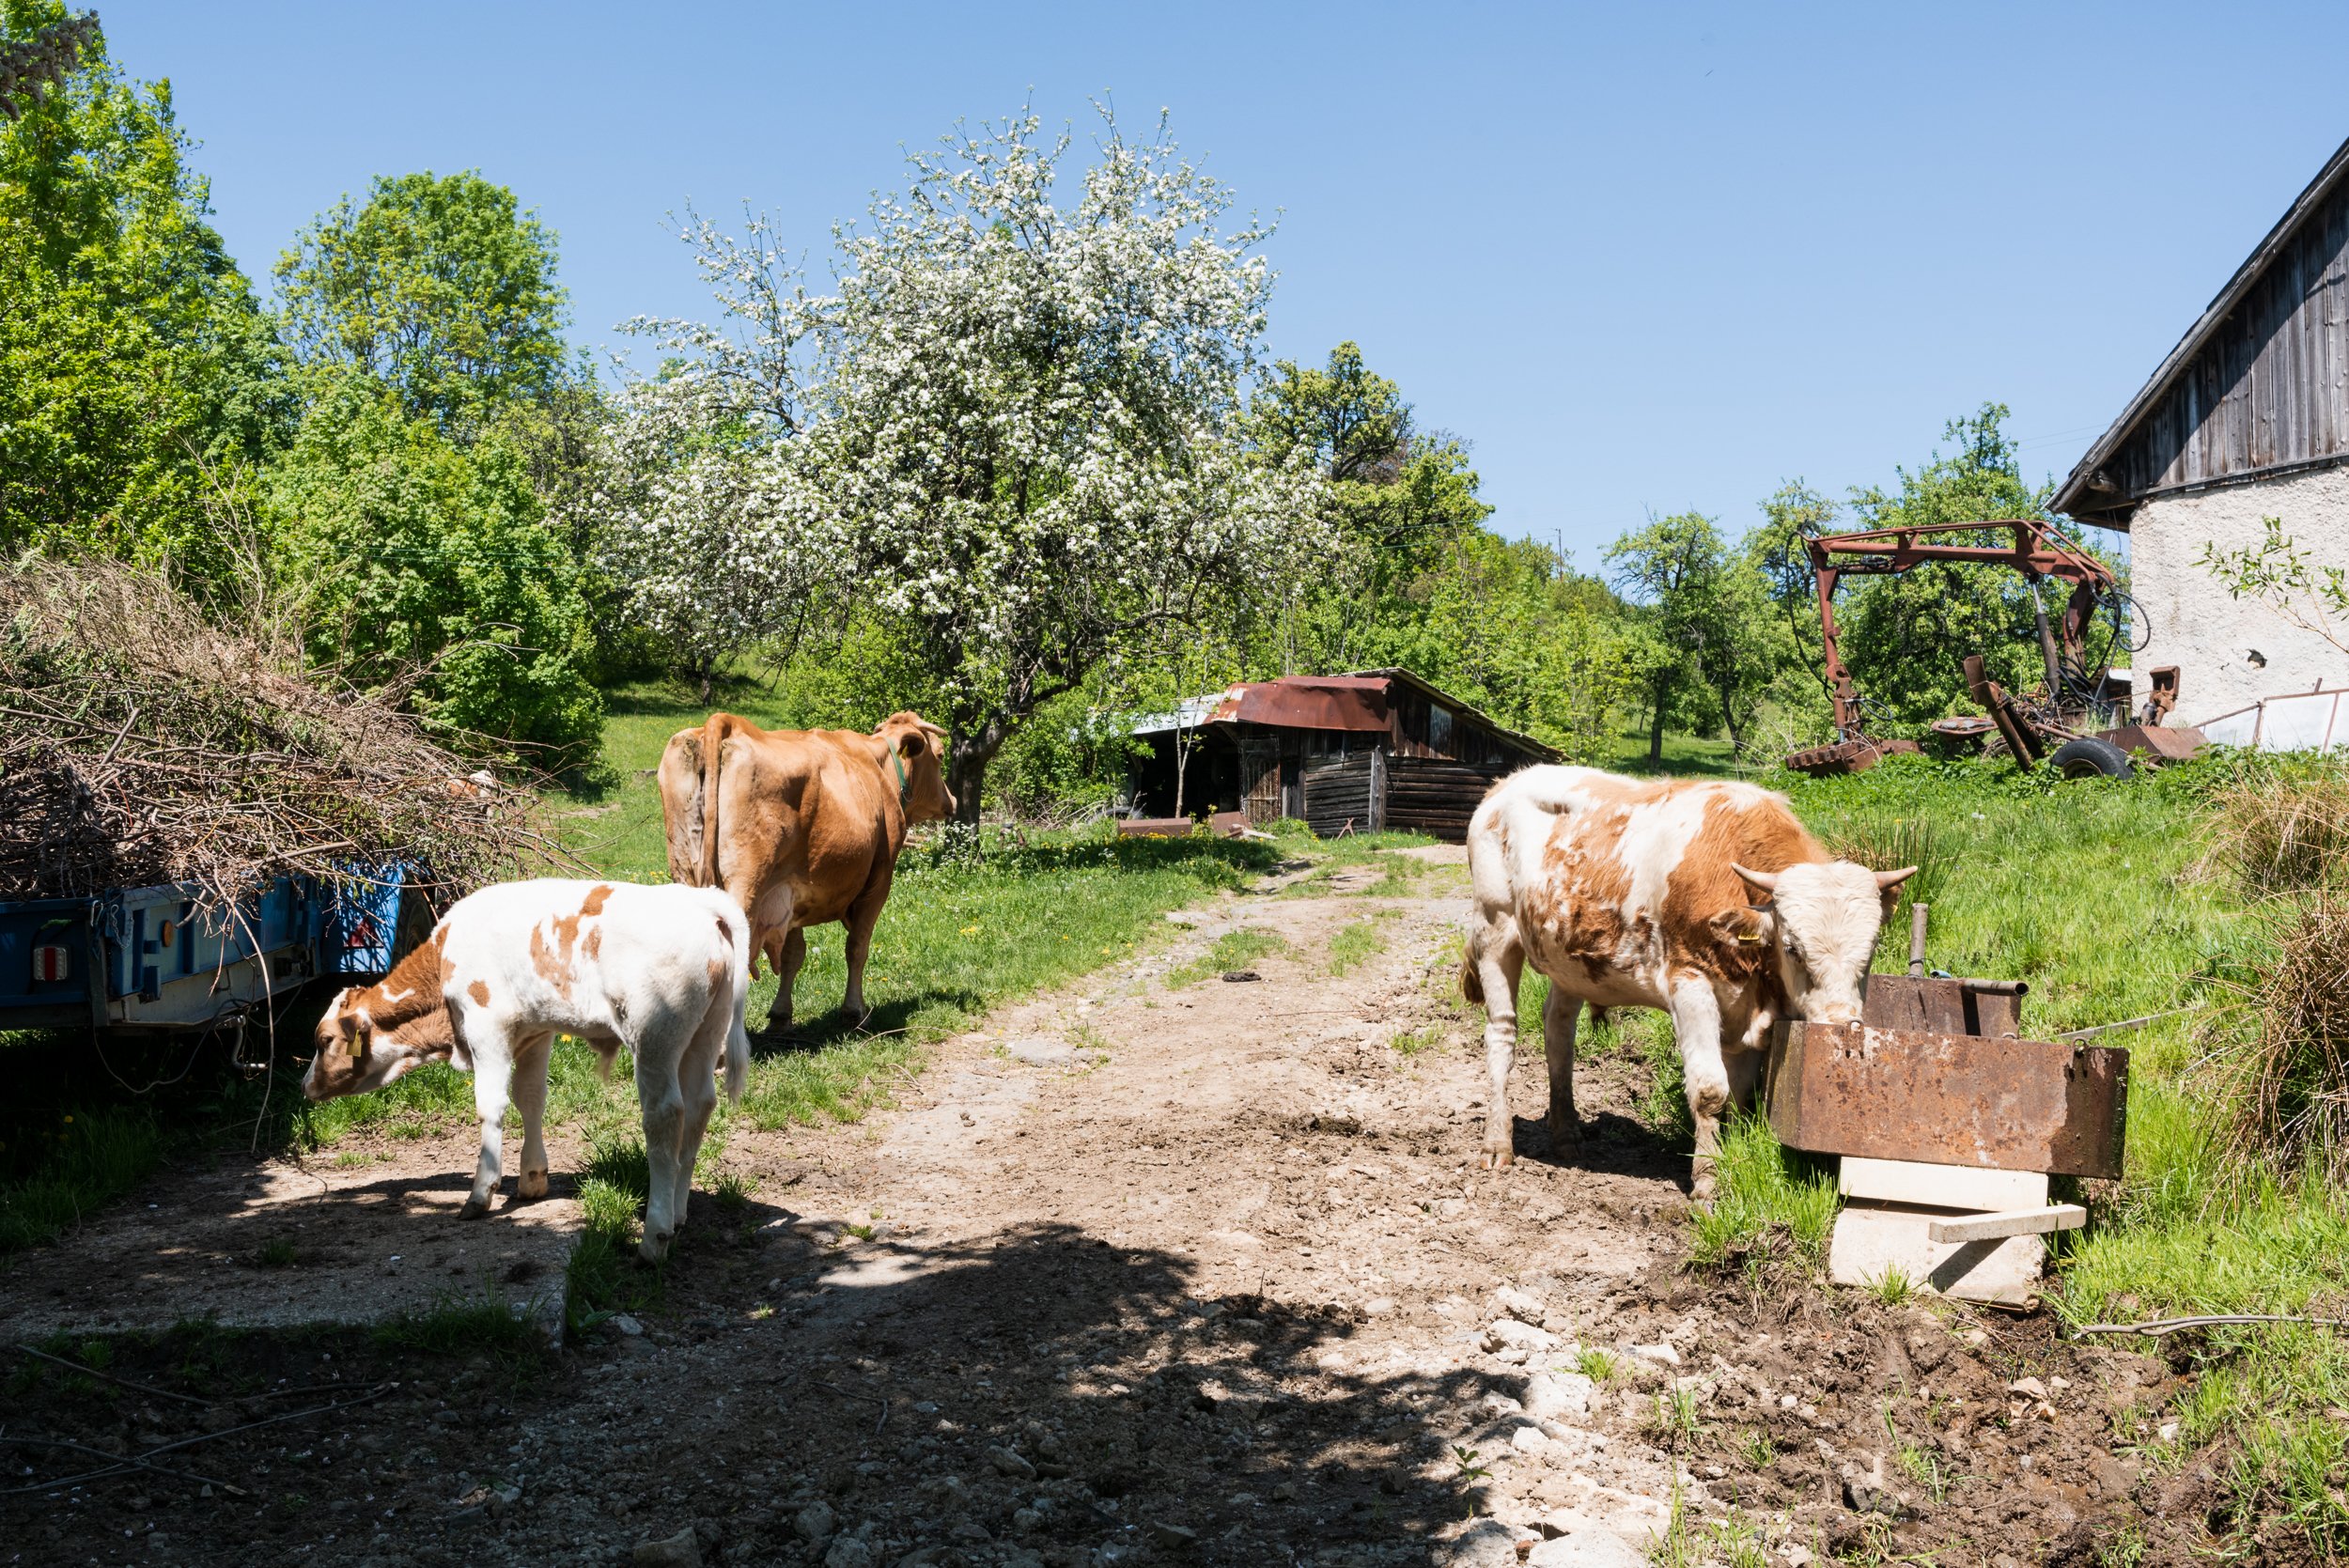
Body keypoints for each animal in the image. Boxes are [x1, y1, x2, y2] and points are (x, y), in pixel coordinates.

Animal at [301, 882, 742, 1258]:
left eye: (324, 1040)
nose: (306, 1086)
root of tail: (703, 901)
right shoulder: (536, 1032)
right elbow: (530, 1098)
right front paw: (532, 1178)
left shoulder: (486, 1028)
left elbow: (491, 1106)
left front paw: (481, 1193)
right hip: (705, 1036)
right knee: (700, 1107)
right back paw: (679, 1214)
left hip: (655, 1039)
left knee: (665, 1116)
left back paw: (654, 1236)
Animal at [653, 713, 954, 1032]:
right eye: (940, 755)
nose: (952, 801)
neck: (880, 766)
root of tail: (728, 721)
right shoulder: (879, 882)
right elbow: (857, 947)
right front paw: (854, 1012)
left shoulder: (789, 888)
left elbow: (793, 954)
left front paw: (781, 1015)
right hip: (745, 888)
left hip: (685, 873)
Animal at [1456, 765, 1917, 1192]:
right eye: (1792, 947)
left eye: (1873, 947)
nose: (1842, 1025)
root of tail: (1505, 784)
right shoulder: (1690, 983)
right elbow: (1711, 1091)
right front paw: (1707, 1180)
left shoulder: (1750, 1011)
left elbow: (1740, 1094)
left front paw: (1732, 1159)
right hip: (1495, 928)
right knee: (1502, 1032)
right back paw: (1497, 1143)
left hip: (1569, 959)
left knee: (1558, 1030)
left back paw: (1567, 1133)